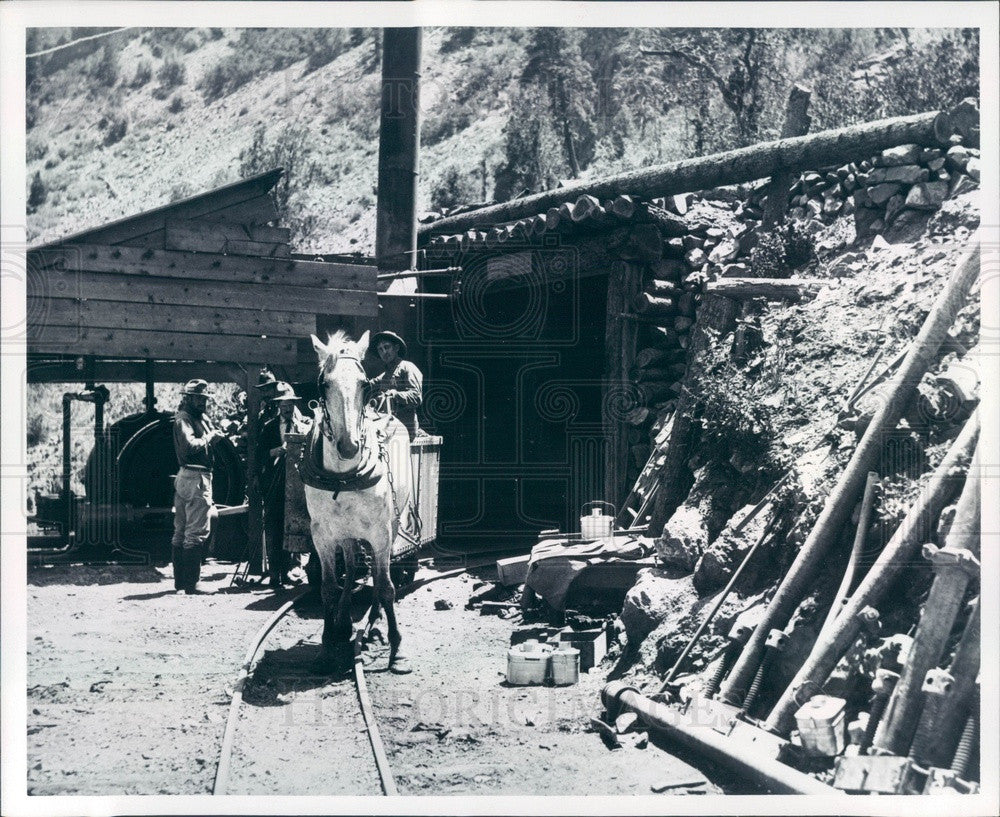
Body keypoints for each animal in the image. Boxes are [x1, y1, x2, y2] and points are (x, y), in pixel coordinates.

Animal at [304, 332, 414, 676]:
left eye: (365, 384)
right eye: (323, 384)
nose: (350, 446)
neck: (344, 477)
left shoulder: (380, 532)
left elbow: (386, 585)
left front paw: (397, 649)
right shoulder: (322, 535)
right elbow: (328, 587)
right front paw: (327, 647)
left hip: (392, 525)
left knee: (379, 576)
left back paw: (373, 622)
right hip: (347, 532)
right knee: (352, 567)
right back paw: (343, 622)